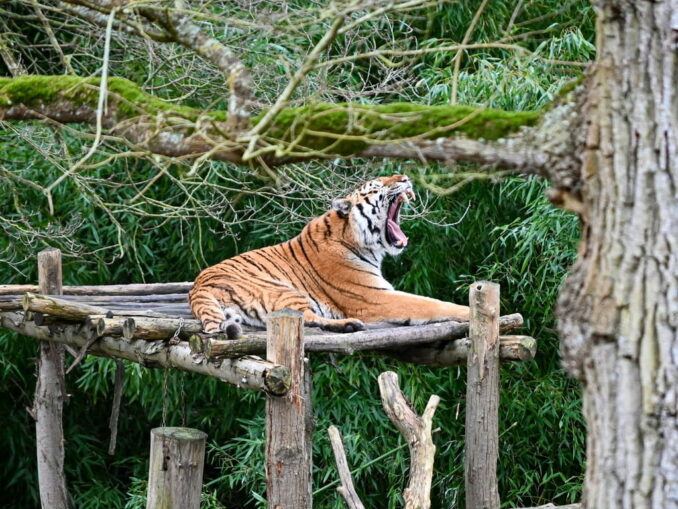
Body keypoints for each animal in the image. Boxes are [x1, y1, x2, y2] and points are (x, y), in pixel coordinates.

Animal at [188, 174, 470, 338]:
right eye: (377, 185)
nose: (405, 177)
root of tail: (198, 288)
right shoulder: (374, 297)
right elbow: (431, 304)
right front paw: (468, 311)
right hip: (284, 290)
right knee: (303, 318)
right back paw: (350, 325)